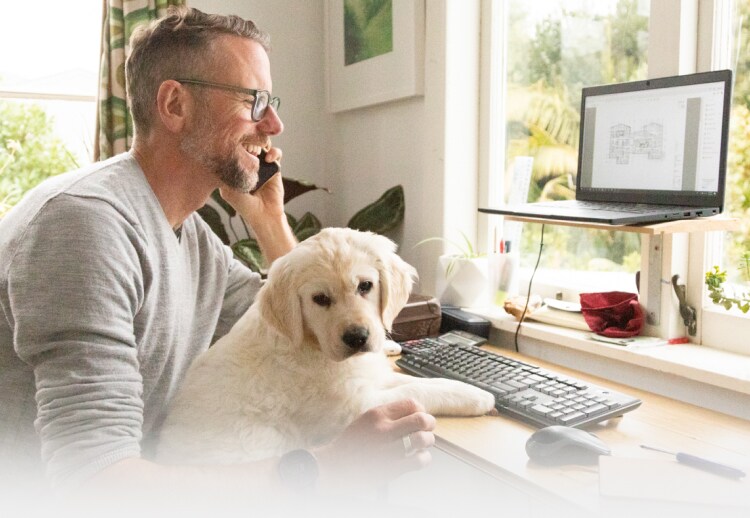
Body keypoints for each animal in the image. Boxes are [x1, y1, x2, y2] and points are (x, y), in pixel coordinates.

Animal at [156, 230, 496, 466]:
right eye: (320, 299)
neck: (311, 344)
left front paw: (469, 390)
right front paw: (478, 398)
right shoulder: (351, 408)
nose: (357, 337)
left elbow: (415, 380)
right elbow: (415, 390)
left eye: (365, 286)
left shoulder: (368, 376)